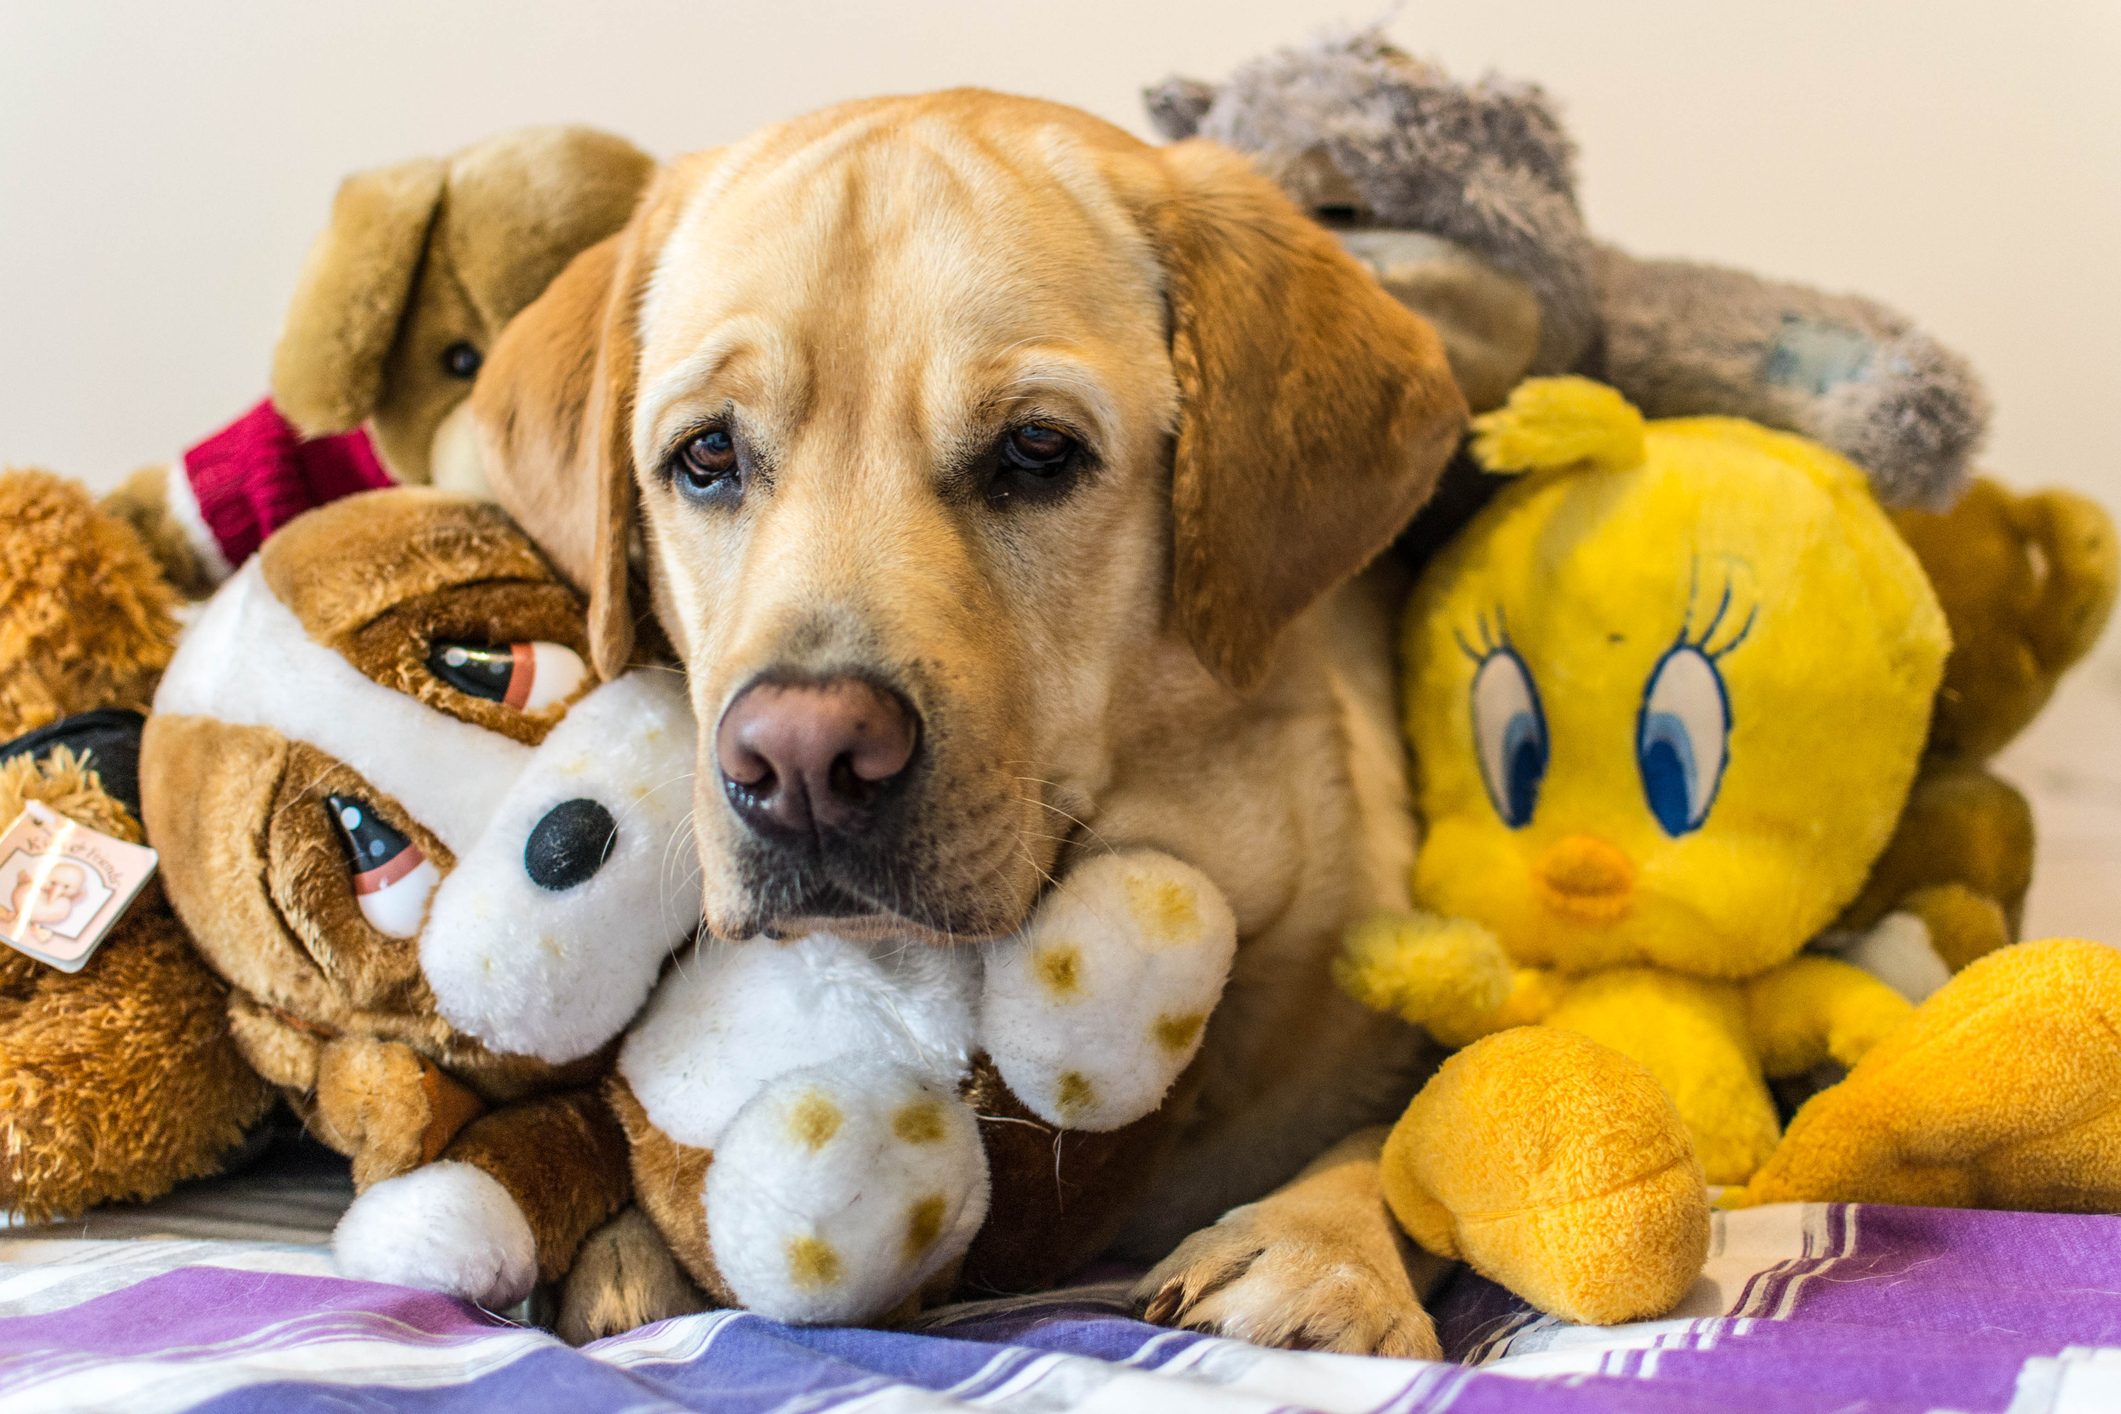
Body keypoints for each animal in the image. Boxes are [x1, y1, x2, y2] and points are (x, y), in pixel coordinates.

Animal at [472, 91, 1467, 1356]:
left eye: (1037, 450)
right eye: (706, 454)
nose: (802, 757)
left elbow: (1417, 1120)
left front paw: (1323, 1251)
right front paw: (628, 1254)